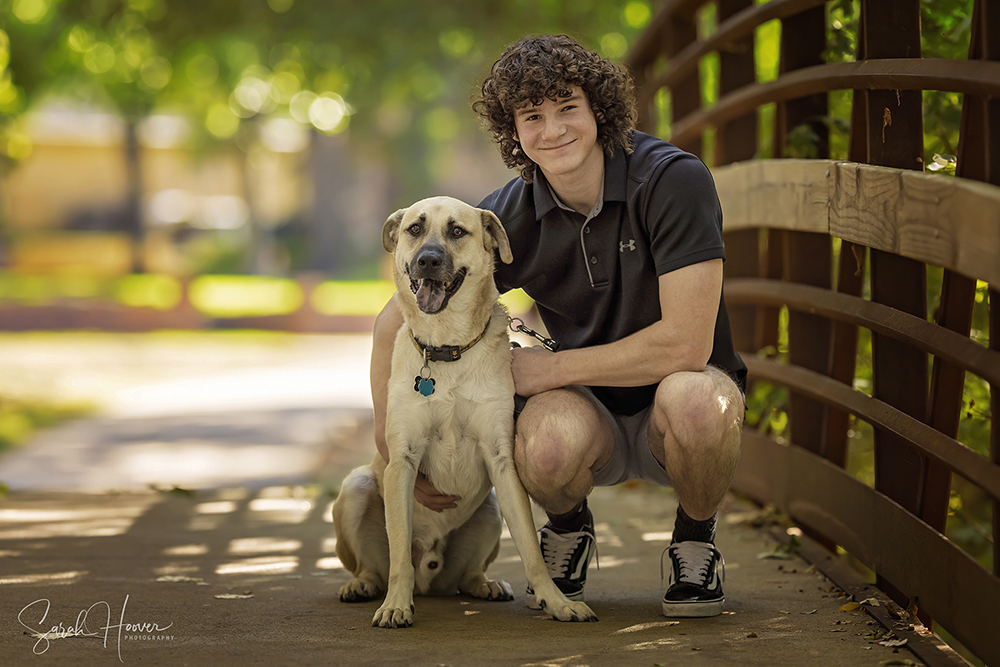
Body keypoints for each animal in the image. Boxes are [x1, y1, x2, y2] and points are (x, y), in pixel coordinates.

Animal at [330, 196, 592, 628]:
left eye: (457, 231)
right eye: (415, 229)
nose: (428, 260)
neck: (446, 349)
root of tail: (429, 577)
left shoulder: (502, 460)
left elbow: (531, 550)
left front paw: (556, 601)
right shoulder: (401, 461)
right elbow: (399, 555)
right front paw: (396, 605)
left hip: (490, 509)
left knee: (468, 574)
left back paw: (484, 584)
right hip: (357, 487)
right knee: (376, 566)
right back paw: (365, 586)